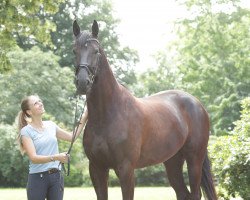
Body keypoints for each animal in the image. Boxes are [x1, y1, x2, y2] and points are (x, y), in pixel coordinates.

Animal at [72, 20, 217, 200]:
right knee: (183, 194)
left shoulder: (126, 169)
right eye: (74, 50)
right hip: (173, 161)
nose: (82, 82)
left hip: (194, 160)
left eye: (96, 51)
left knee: (195, 193)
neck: (107, 116)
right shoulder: (97, 168)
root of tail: (198, 104)